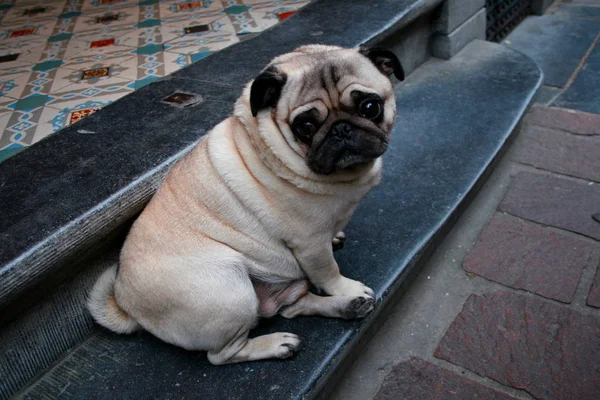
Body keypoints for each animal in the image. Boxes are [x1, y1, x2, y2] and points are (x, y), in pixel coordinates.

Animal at [88, 44, 404, 366]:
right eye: (305, 126)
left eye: (370, 107)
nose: (341, 129)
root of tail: (126, 304)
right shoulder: (310, 243)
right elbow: (328, 272)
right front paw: (346, 286)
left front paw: (339, 247)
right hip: (230, 291)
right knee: (222, 354)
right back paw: (279, 342)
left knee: (292, 307)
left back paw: (347, 307)